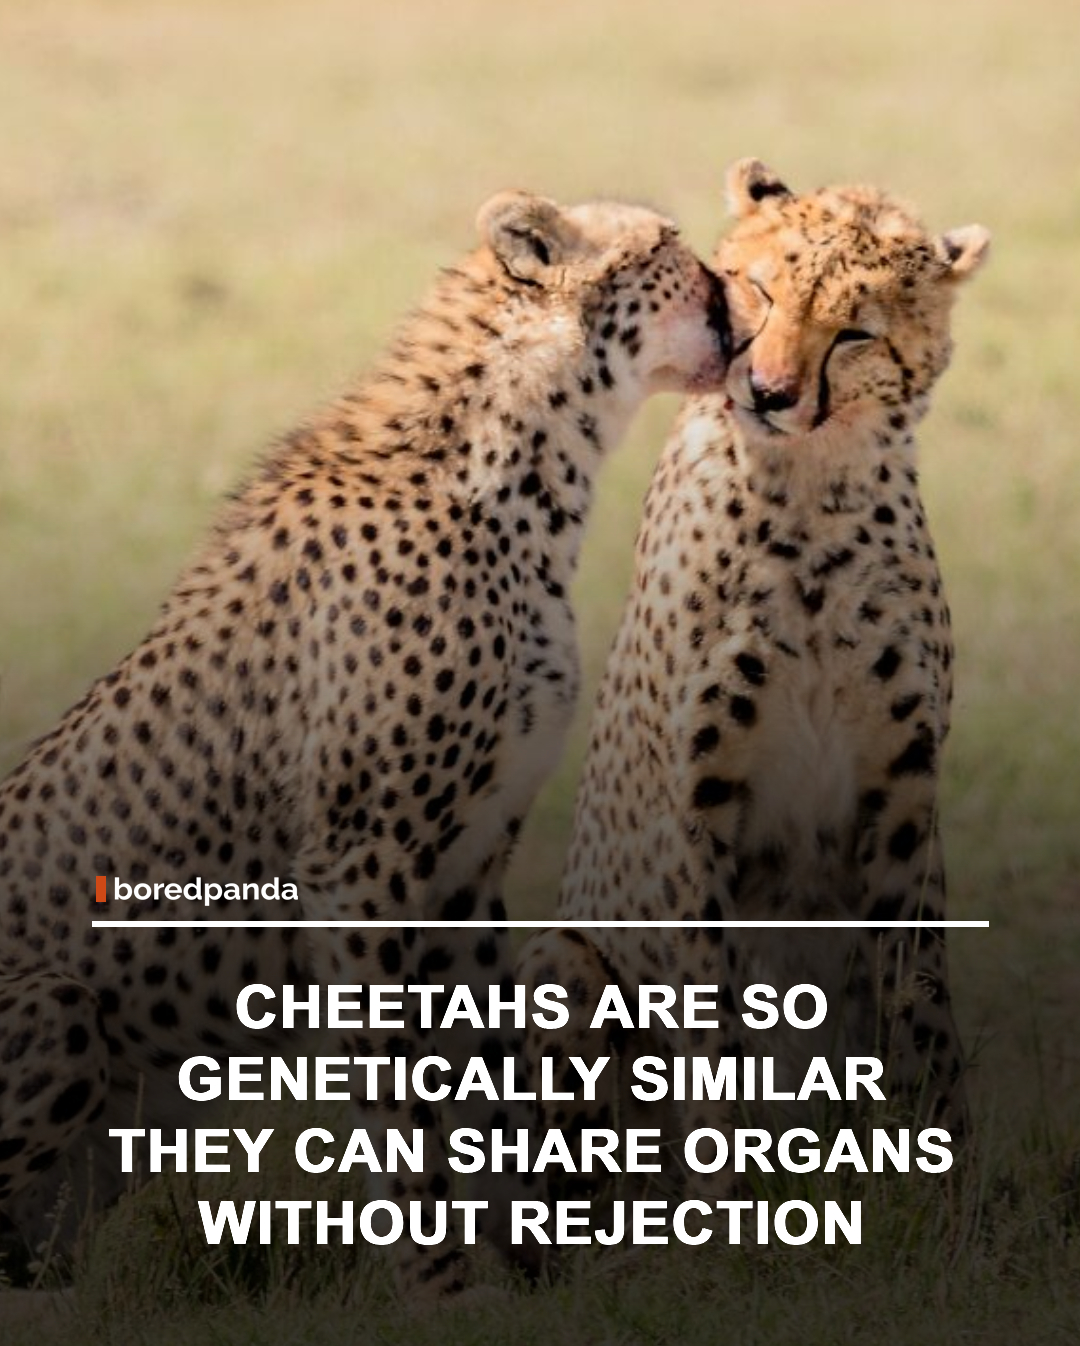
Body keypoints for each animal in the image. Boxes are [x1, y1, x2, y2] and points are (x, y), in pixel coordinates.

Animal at [0, 188, 729, 1296]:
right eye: (671, 249)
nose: (745, 299)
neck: (516, 474)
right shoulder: (361, 859)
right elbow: (395, 1084)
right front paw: (441, 1285)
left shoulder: (472, 864)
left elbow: (488, 1076)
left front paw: (530, 1275)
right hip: (60, 1003)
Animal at [519, 159, 990, 1207]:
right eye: (763, 293)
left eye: (854, 331)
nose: (769, 391)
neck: (811, 495)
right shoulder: (698, 803)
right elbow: (714, 1005)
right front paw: (728, 1200)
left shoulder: (903, 794)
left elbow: (917, 989)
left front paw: (942, 1184)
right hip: (561, 956)